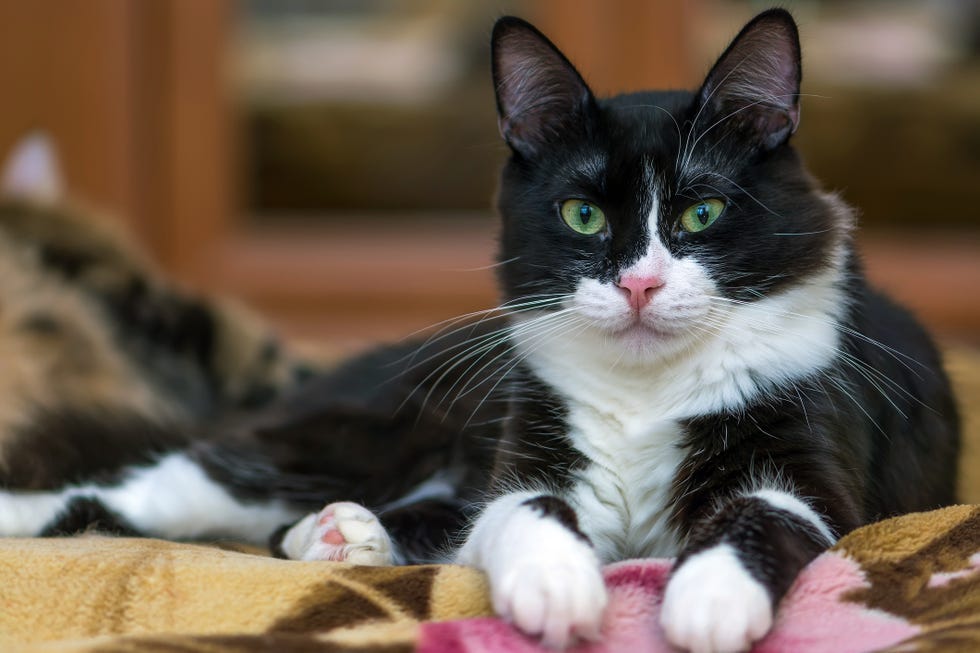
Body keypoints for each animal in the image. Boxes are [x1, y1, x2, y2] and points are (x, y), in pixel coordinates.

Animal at [0, 11, 956, 652]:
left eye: (703, 212)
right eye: (580, 215)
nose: (640, 283)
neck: (646, 388)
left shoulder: (806, 466)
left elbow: (755, 518)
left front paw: (709, 599)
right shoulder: (527, 453)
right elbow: (526, 508)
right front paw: (557, 584)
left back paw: (346, 536)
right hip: (338, 437)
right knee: (139, 488)